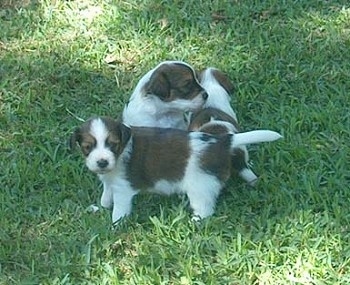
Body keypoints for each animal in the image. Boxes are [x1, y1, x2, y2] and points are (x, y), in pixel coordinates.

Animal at [69, 115, 282, 222]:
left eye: (113, 144)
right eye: (87, 146)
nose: (102, 162)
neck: (120, 153)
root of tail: (221, 142)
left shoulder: (123, 190)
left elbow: (119, 210)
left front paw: (115, 225)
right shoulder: (110, 182)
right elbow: (106, 195)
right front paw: (102, 206)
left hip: (199, 187)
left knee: (205, 209)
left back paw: (194, 222)